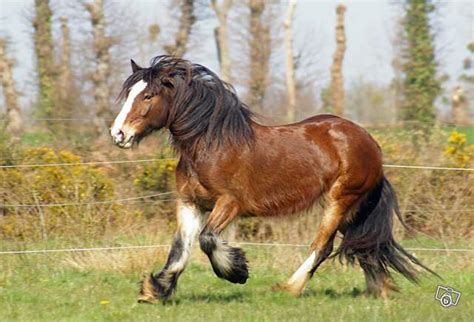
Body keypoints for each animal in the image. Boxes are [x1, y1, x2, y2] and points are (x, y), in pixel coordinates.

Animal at [109, 54, 436, 302]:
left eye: (148, 95)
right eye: (129, 94)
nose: (118, 134)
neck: (211, 145)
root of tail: (371, 143)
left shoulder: (230, 204)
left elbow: (207, 240)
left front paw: (237, 272)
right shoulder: (190, 203)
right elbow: (180, 250)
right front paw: (155, 291)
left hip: (340, 200)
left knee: (322, 246)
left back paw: (289, 288)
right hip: (352, 210)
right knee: (364, 246)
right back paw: (380, 290)